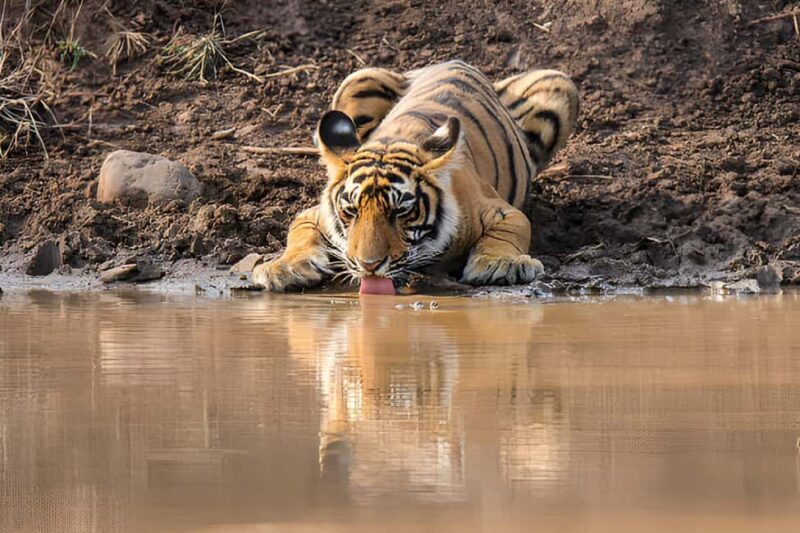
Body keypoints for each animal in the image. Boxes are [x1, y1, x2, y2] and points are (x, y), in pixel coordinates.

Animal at [252, 60, 579, 292]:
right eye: (351, 212)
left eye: (401, 212)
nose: (369, 265)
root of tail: (455, 61)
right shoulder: (316, 213)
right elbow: (298, 230)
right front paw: (284, 268)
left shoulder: (501, 211)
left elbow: (511, 230)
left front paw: (501, 264)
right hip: (357, 80)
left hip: (559, 84)